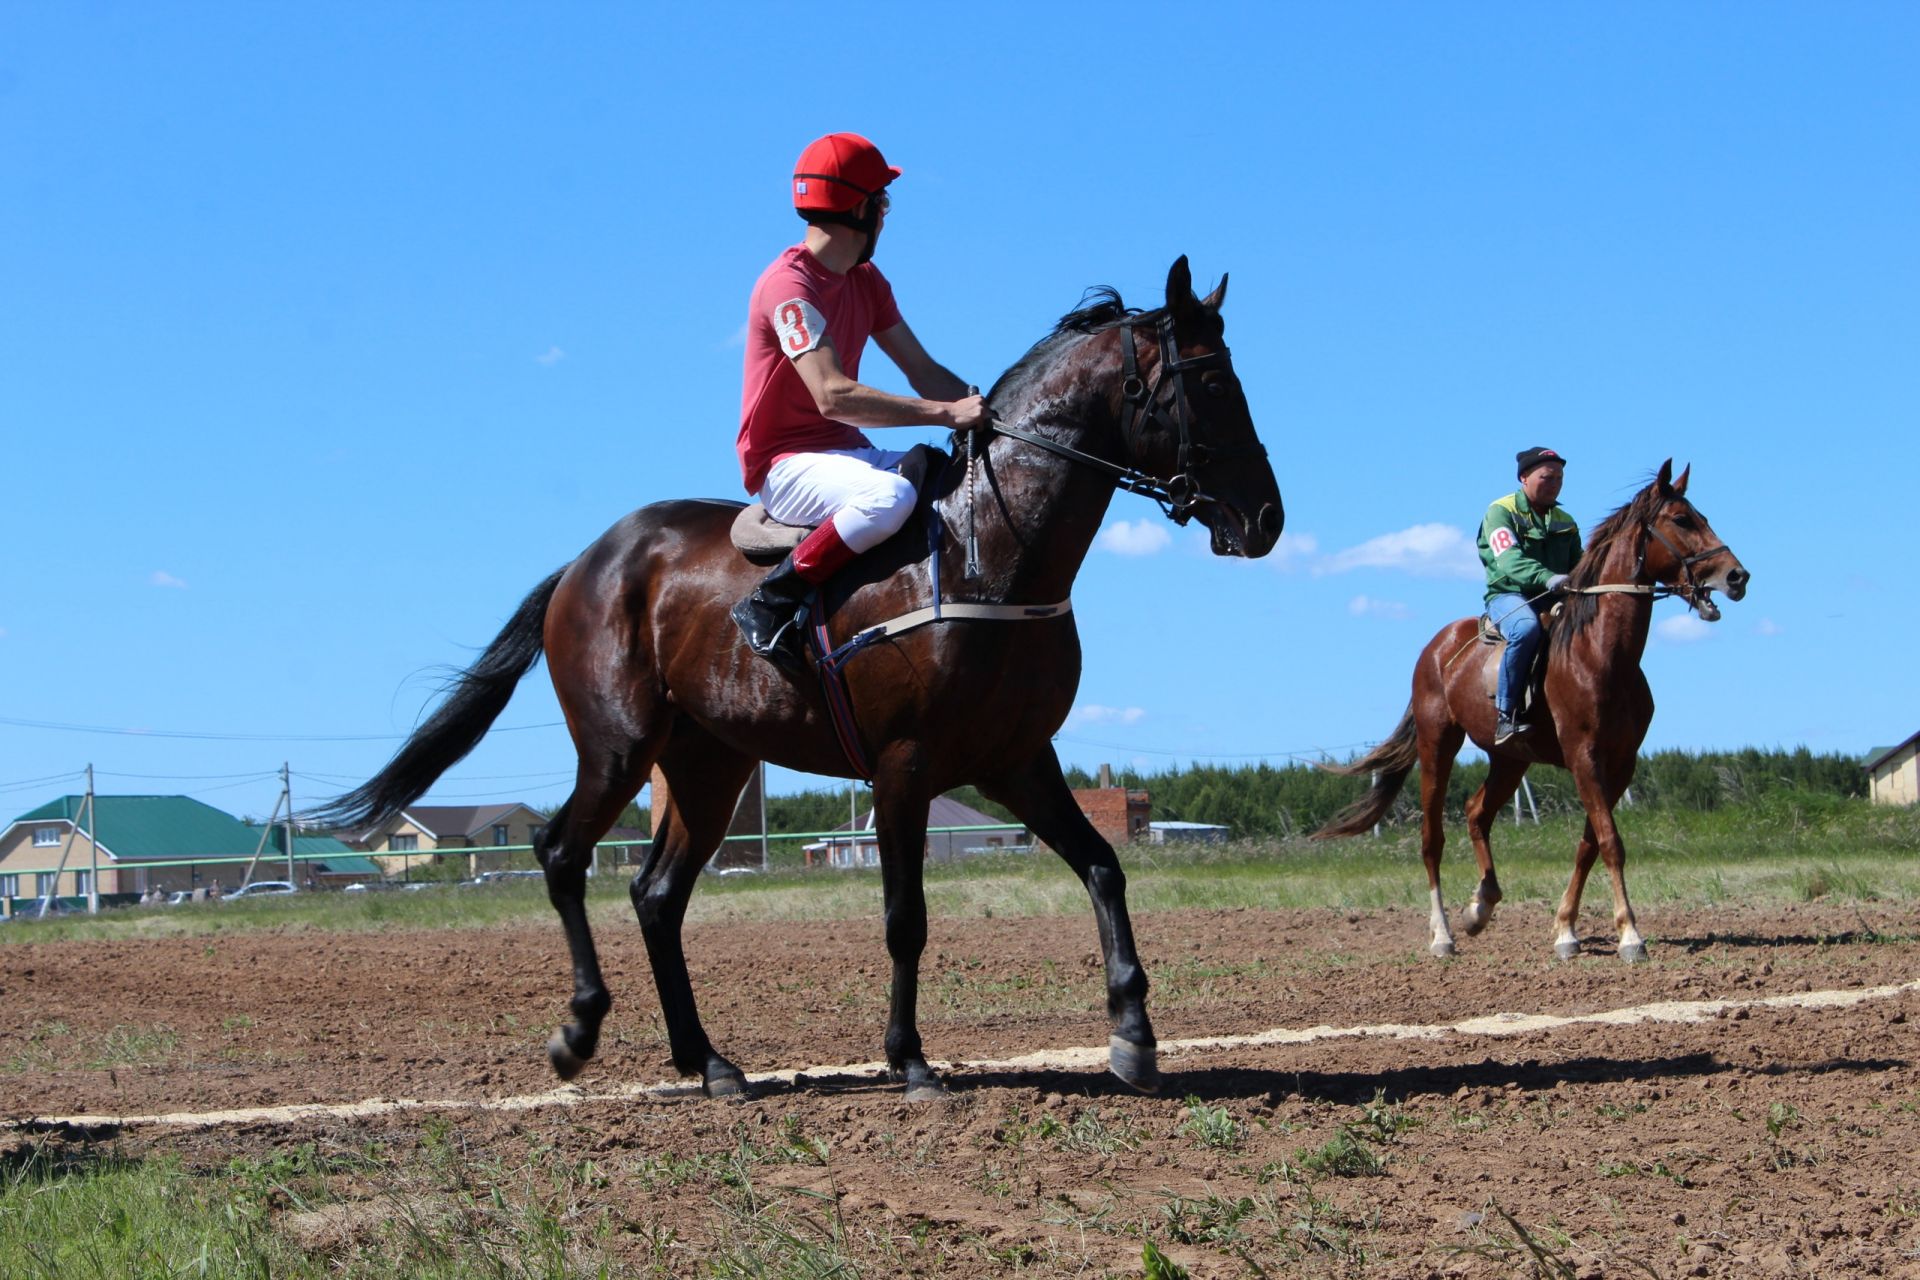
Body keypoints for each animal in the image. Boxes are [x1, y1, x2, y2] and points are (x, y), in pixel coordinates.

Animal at [314, 260, 1282, 1105]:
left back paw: (708, 1062)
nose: (1269, 519)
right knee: (561, 854)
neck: (986, 551)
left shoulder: (1017, 760)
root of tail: (588, 561)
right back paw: (581, 1030)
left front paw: (1134, 1034)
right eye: (1209, 384)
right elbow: (905, 918)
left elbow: (1104, 867)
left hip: (709, 766)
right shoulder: (904, 767)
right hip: (620, 745)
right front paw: (910, 1060)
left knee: (656, 896)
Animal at [1313, 466, 1751, 967]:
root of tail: (1438, 647)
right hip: (1436, 745)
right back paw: (1443, 934)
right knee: (1432, 839)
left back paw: (1480, 907)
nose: (1737, 575)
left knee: (1476, 813)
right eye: (1681, 519)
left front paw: (1566, 930)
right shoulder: (1583, 756)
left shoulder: (1620, 764)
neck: (1599, 653)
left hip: (1510, 760)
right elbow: (1611, 843)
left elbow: (1588, 845)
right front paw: (1629, 935)